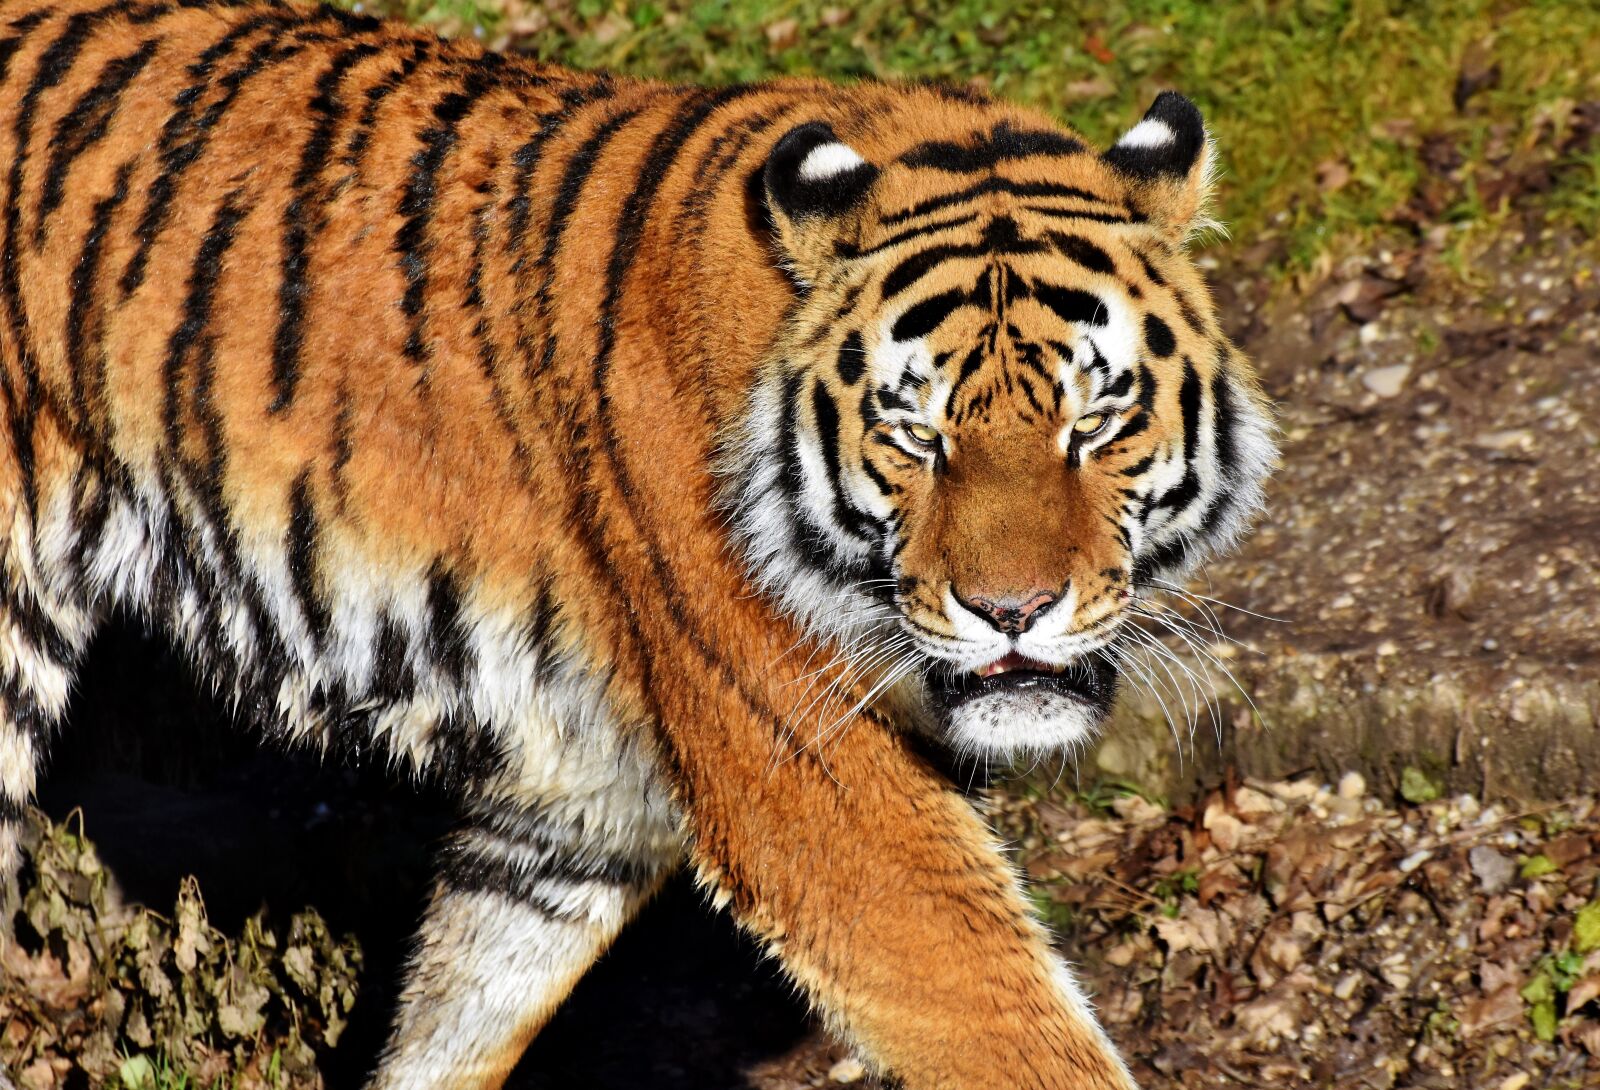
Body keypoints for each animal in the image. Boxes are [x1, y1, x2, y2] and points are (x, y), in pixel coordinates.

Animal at [0, 0, 1276, 1086]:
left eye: (1094, 421)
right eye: (914, 432)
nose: (1012, 610)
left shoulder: (573, 807)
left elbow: (455, 1015)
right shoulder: (804, 772)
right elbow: (1006, 1020)